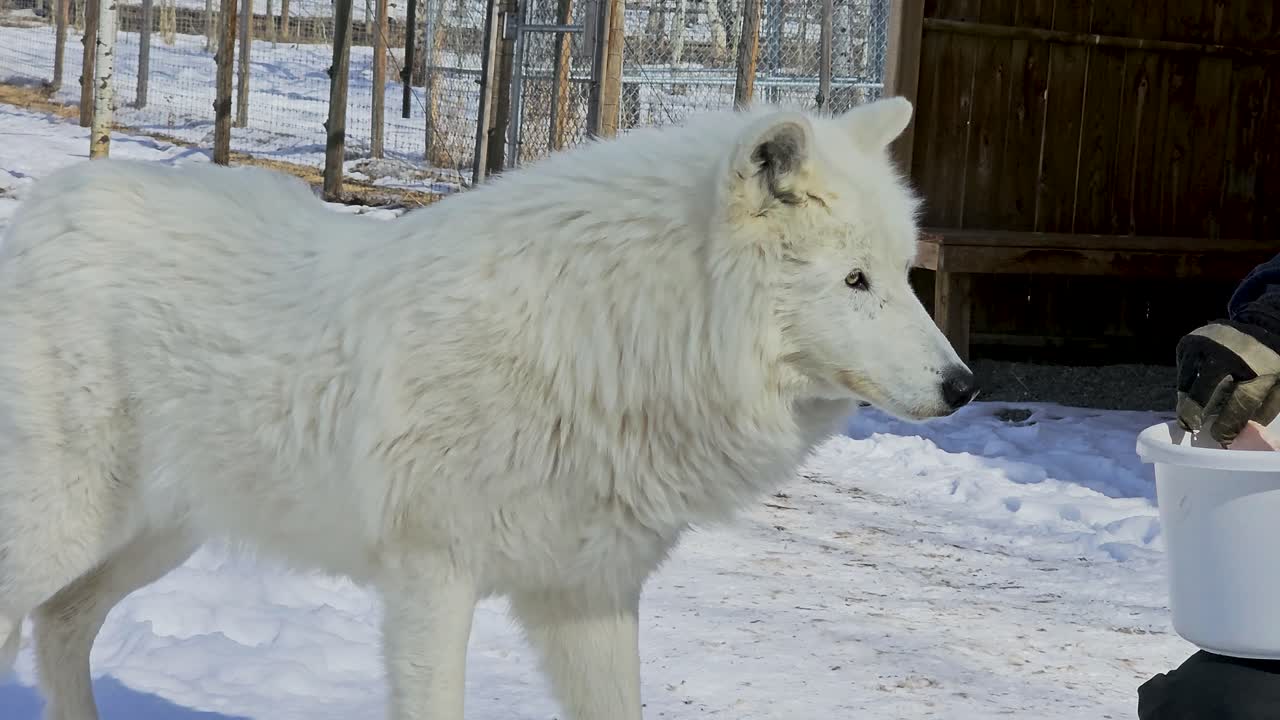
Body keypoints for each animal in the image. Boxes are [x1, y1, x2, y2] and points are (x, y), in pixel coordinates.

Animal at [0, 96, 976, 719]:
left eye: (903, 275)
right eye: (855, 281)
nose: (964, 385)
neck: (607, 338)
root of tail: (38, 211)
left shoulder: (587, 598)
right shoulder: (431, 579)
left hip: (159, 536)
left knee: (61, 627)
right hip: (69, 529)